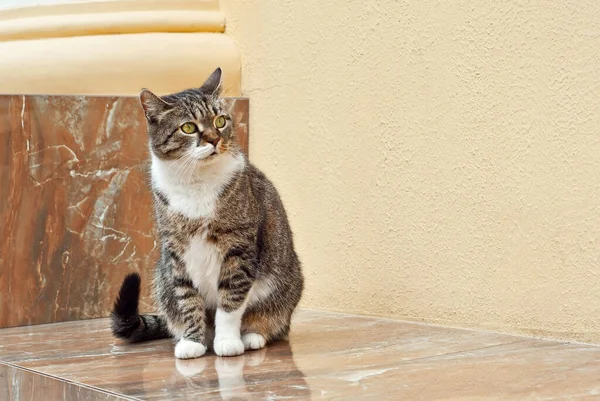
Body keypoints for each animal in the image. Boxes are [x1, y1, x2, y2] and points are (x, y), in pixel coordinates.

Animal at [109, 67, 302, 358]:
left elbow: (230, 303)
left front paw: (228, 341)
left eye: (220, 120)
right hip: (162, 278)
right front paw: (192, 342)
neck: (195, 182)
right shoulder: (177, 252)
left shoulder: (238, 246)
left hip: (285, 285)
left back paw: (251, 336)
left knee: (272, 321)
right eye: (188, 127)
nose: (214, 139)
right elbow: (188, 301)